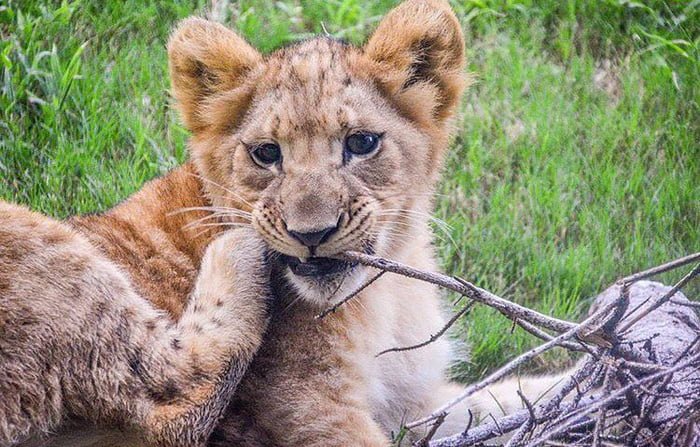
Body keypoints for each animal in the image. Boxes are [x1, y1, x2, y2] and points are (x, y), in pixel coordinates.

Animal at [1, 1, 565, 446]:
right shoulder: (307, 408)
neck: (386, 291)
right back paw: (236, 250)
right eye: (266, 153)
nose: (310, 234)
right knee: (172, 401)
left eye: (361, 143)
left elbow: (498, 400)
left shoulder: (413, 403)